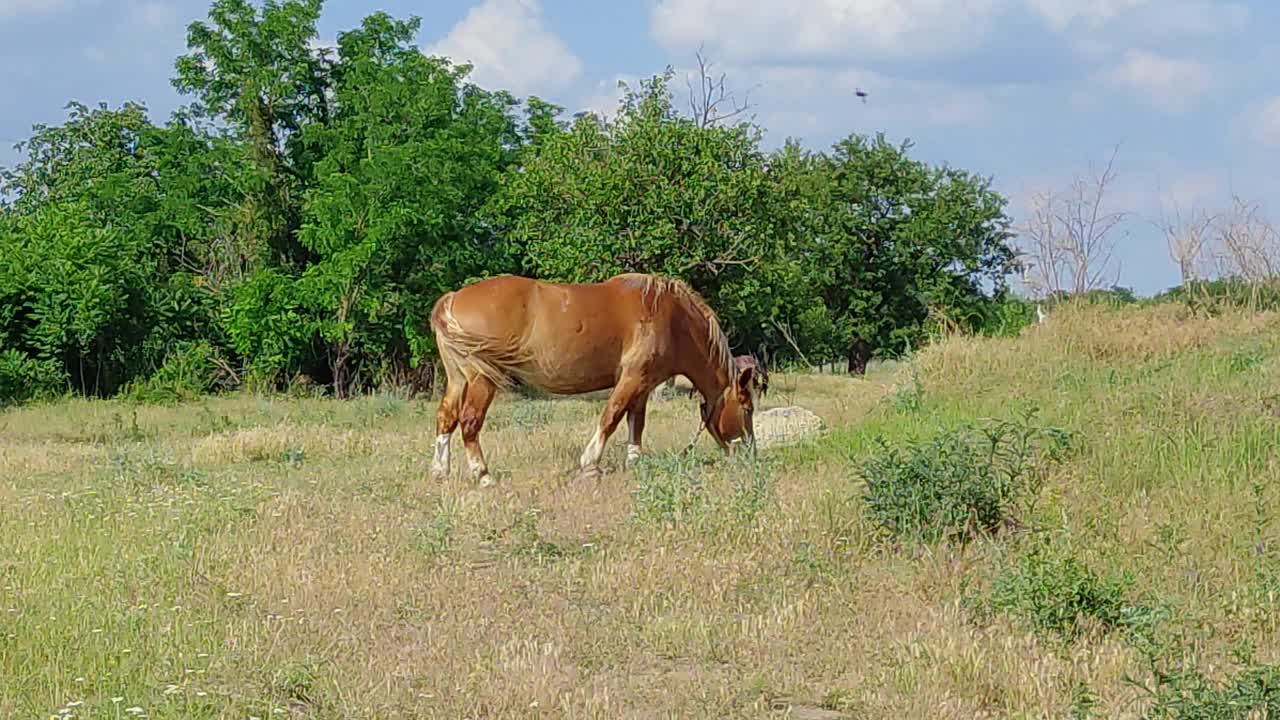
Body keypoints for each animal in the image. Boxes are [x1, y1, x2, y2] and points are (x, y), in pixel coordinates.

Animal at [430, 271, 752, 484]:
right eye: (747, 408)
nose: (750, 452)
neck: (672, 317)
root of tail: (452, 299)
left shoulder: (644, 384)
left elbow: (636, 422)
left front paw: (634, 462)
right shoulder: (631, 379)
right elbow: (611, 416)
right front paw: (591, 464)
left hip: (458, 379)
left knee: (446, 417)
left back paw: (439, 471)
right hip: (482, 379)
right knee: (470, 421)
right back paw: (483, 475)